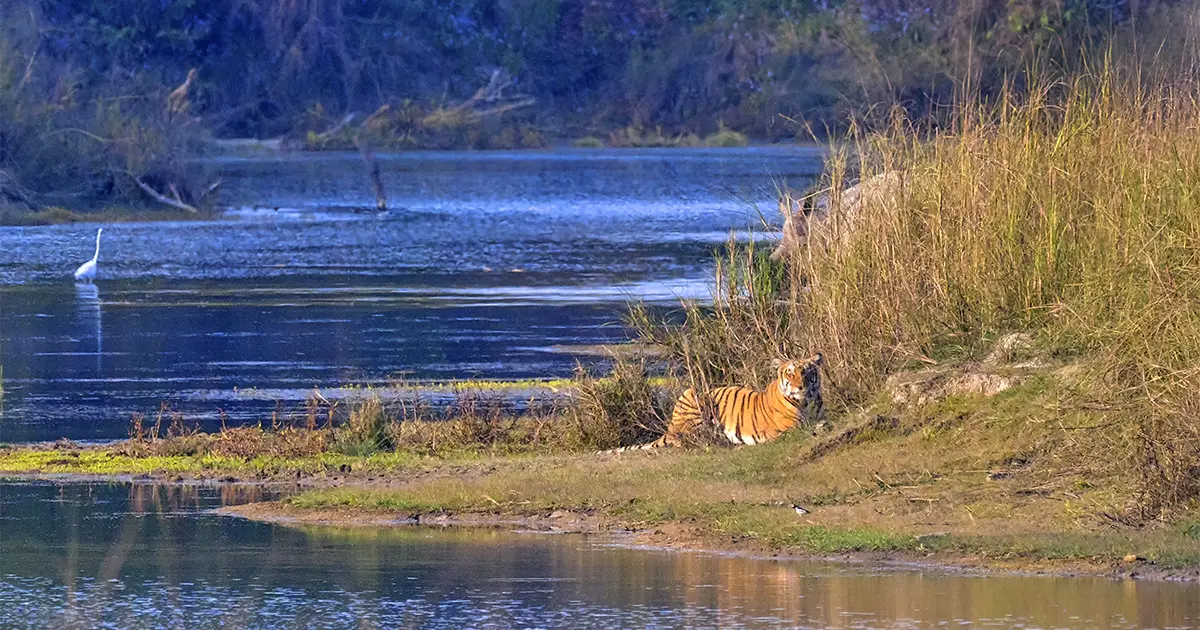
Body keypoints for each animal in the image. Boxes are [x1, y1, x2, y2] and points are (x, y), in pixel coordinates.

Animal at [606, 354, 824, 452]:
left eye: (807, 372)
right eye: (790, 373)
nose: (800, 387)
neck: (806, 403)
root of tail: (670, 428)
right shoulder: (789, 428)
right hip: (692, 395)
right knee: (687, 439)